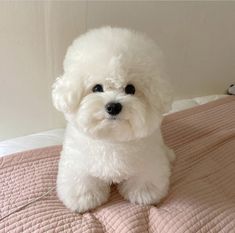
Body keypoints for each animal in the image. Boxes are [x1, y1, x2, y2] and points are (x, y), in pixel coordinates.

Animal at [52, 26, 175, 212]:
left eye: (130, 89)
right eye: (97, 88)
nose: (113, 107)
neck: (112, 139)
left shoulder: (148, 161)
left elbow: (145, 180)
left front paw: (144, 193)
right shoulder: (77, 163)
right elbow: (82, 181)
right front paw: (84, 198)